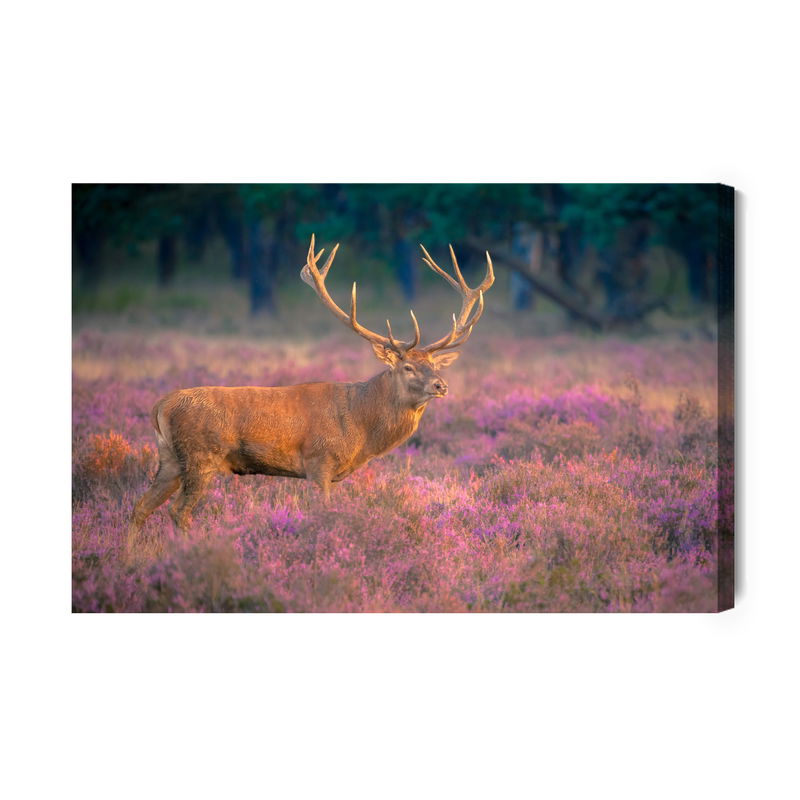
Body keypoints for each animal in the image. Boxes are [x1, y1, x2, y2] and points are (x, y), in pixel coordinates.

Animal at [127, 235, 494, 547]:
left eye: (435, 365)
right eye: (407, 367)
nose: (441, 385)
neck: (361, 426)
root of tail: (160, 406)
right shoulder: (319, 462)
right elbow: (323, 514)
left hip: (170, 458)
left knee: (140, 506)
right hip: (199, 456)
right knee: (178, 511)